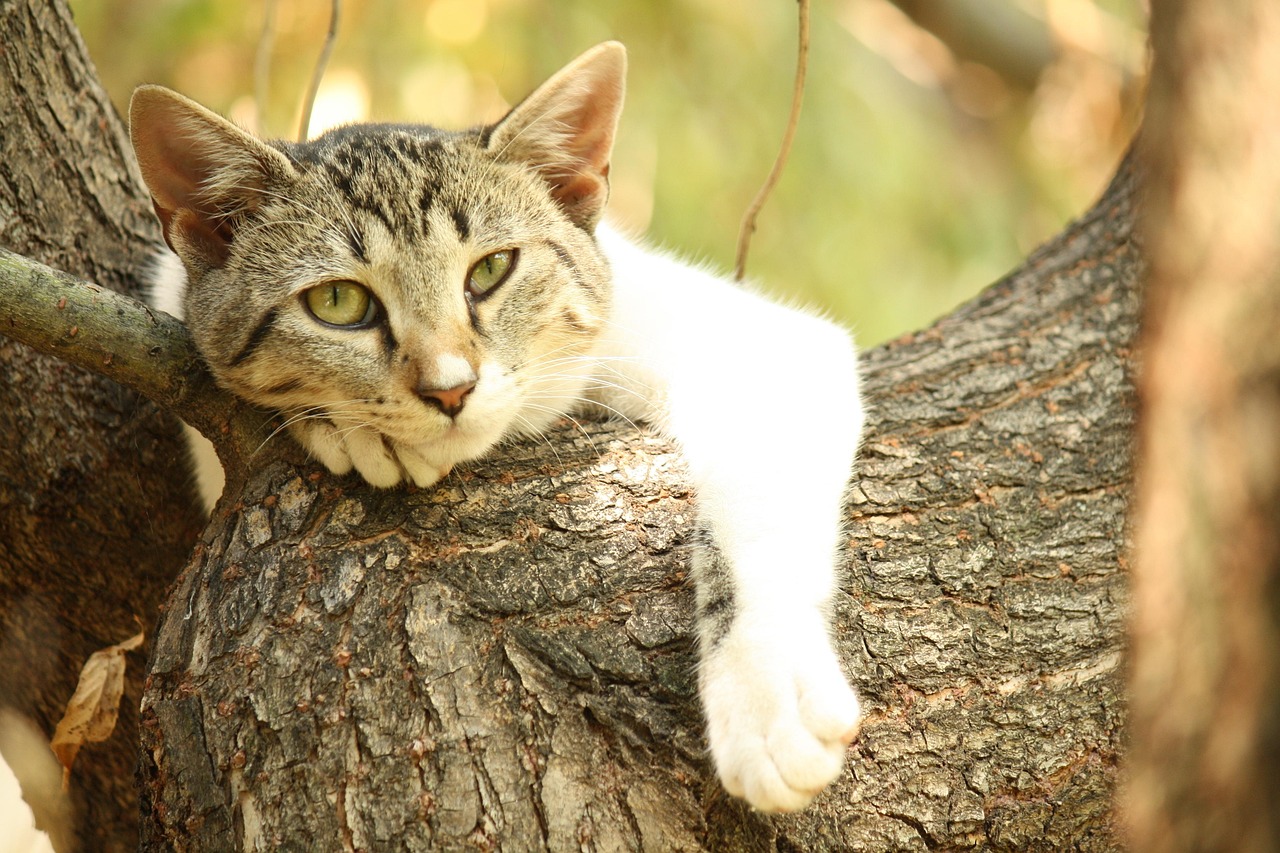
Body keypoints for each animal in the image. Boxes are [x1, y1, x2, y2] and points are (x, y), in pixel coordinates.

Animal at [129, 39, 865, 809]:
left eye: (492, 269)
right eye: (337, 302)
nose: (451, 387)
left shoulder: (754, 342)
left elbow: (757, 509)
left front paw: (768, 695)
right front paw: (352, 428)